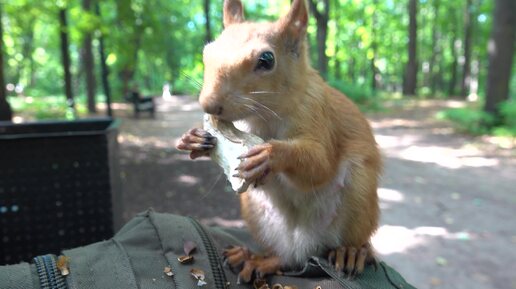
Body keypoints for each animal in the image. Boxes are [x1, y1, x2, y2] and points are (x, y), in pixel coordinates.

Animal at [175, 0, 380, 280]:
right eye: (207, 52)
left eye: (267, 59)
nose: (208, 105)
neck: (265, 116)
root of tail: (305, 248)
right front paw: (193, 139)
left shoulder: (318, 115)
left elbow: (319, 164)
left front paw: (268, 155)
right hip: (257, 214)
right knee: (283, 259)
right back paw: (253, 258)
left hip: (358, 203)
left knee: (349, 240)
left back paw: (352, 252)